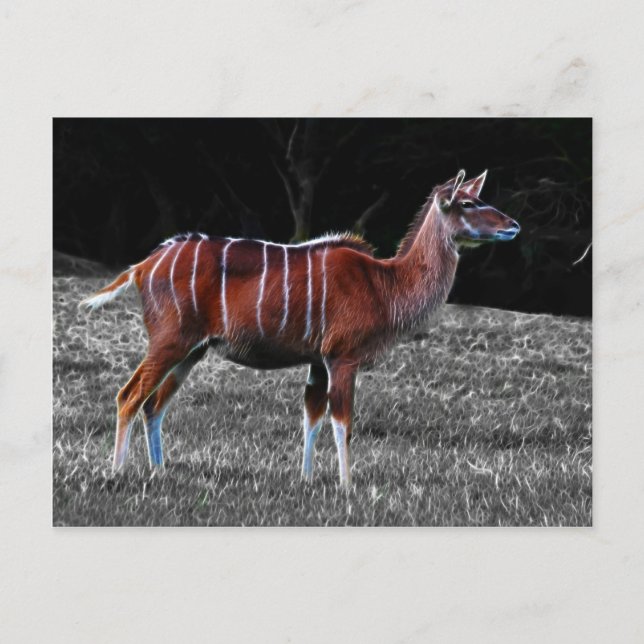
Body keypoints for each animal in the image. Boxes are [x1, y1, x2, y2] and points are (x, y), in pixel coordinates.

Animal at [81, 170, 520, 486]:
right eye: (467, 202)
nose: (513, 225)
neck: (385, 284)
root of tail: (141, 266)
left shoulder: (317, 361)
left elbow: (312, 416)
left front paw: (306, 481)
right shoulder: (342, 357)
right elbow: (343, 422)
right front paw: (347, 487)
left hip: (193, 349)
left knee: (154, 404)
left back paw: (159, 472)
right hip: (170, 340)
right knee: (129, 395)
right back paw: (118, 473)